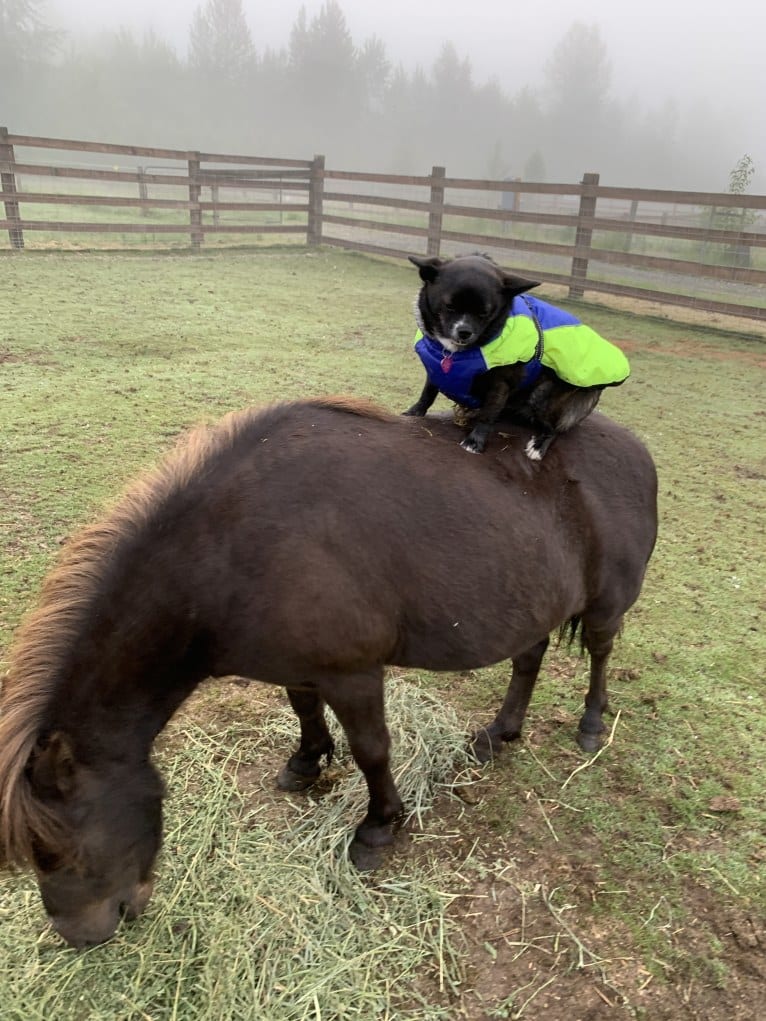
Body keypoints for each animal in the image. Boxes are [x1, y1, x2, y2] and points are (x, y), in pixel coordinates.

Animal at [0, 398, 661, 947]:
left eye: (61, 846)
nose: (81, 936)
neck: (230, 550)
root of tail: (635, 447)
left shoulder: (354, 674)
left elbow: (372, 750)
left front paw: (377, 828)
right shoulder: (300, 665)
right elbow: (303, 709)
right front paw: (307, 761)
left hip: (606, 605)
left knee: (600, 653)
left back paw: (592, 725)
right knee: (527, 659)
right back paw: (500, 733)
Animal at [404, 255, 633, 459]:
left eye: (485, 313)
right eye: (449, 306)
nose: (464, 332)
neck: (454, 354)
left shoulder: (501, 385)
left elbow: (488, 415)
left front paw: (475, 442)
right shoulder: (435, 372)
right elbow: (427, 394)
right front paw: (414, 413)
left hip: (539, 397)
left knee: (553, 429)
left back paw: (538, 446)